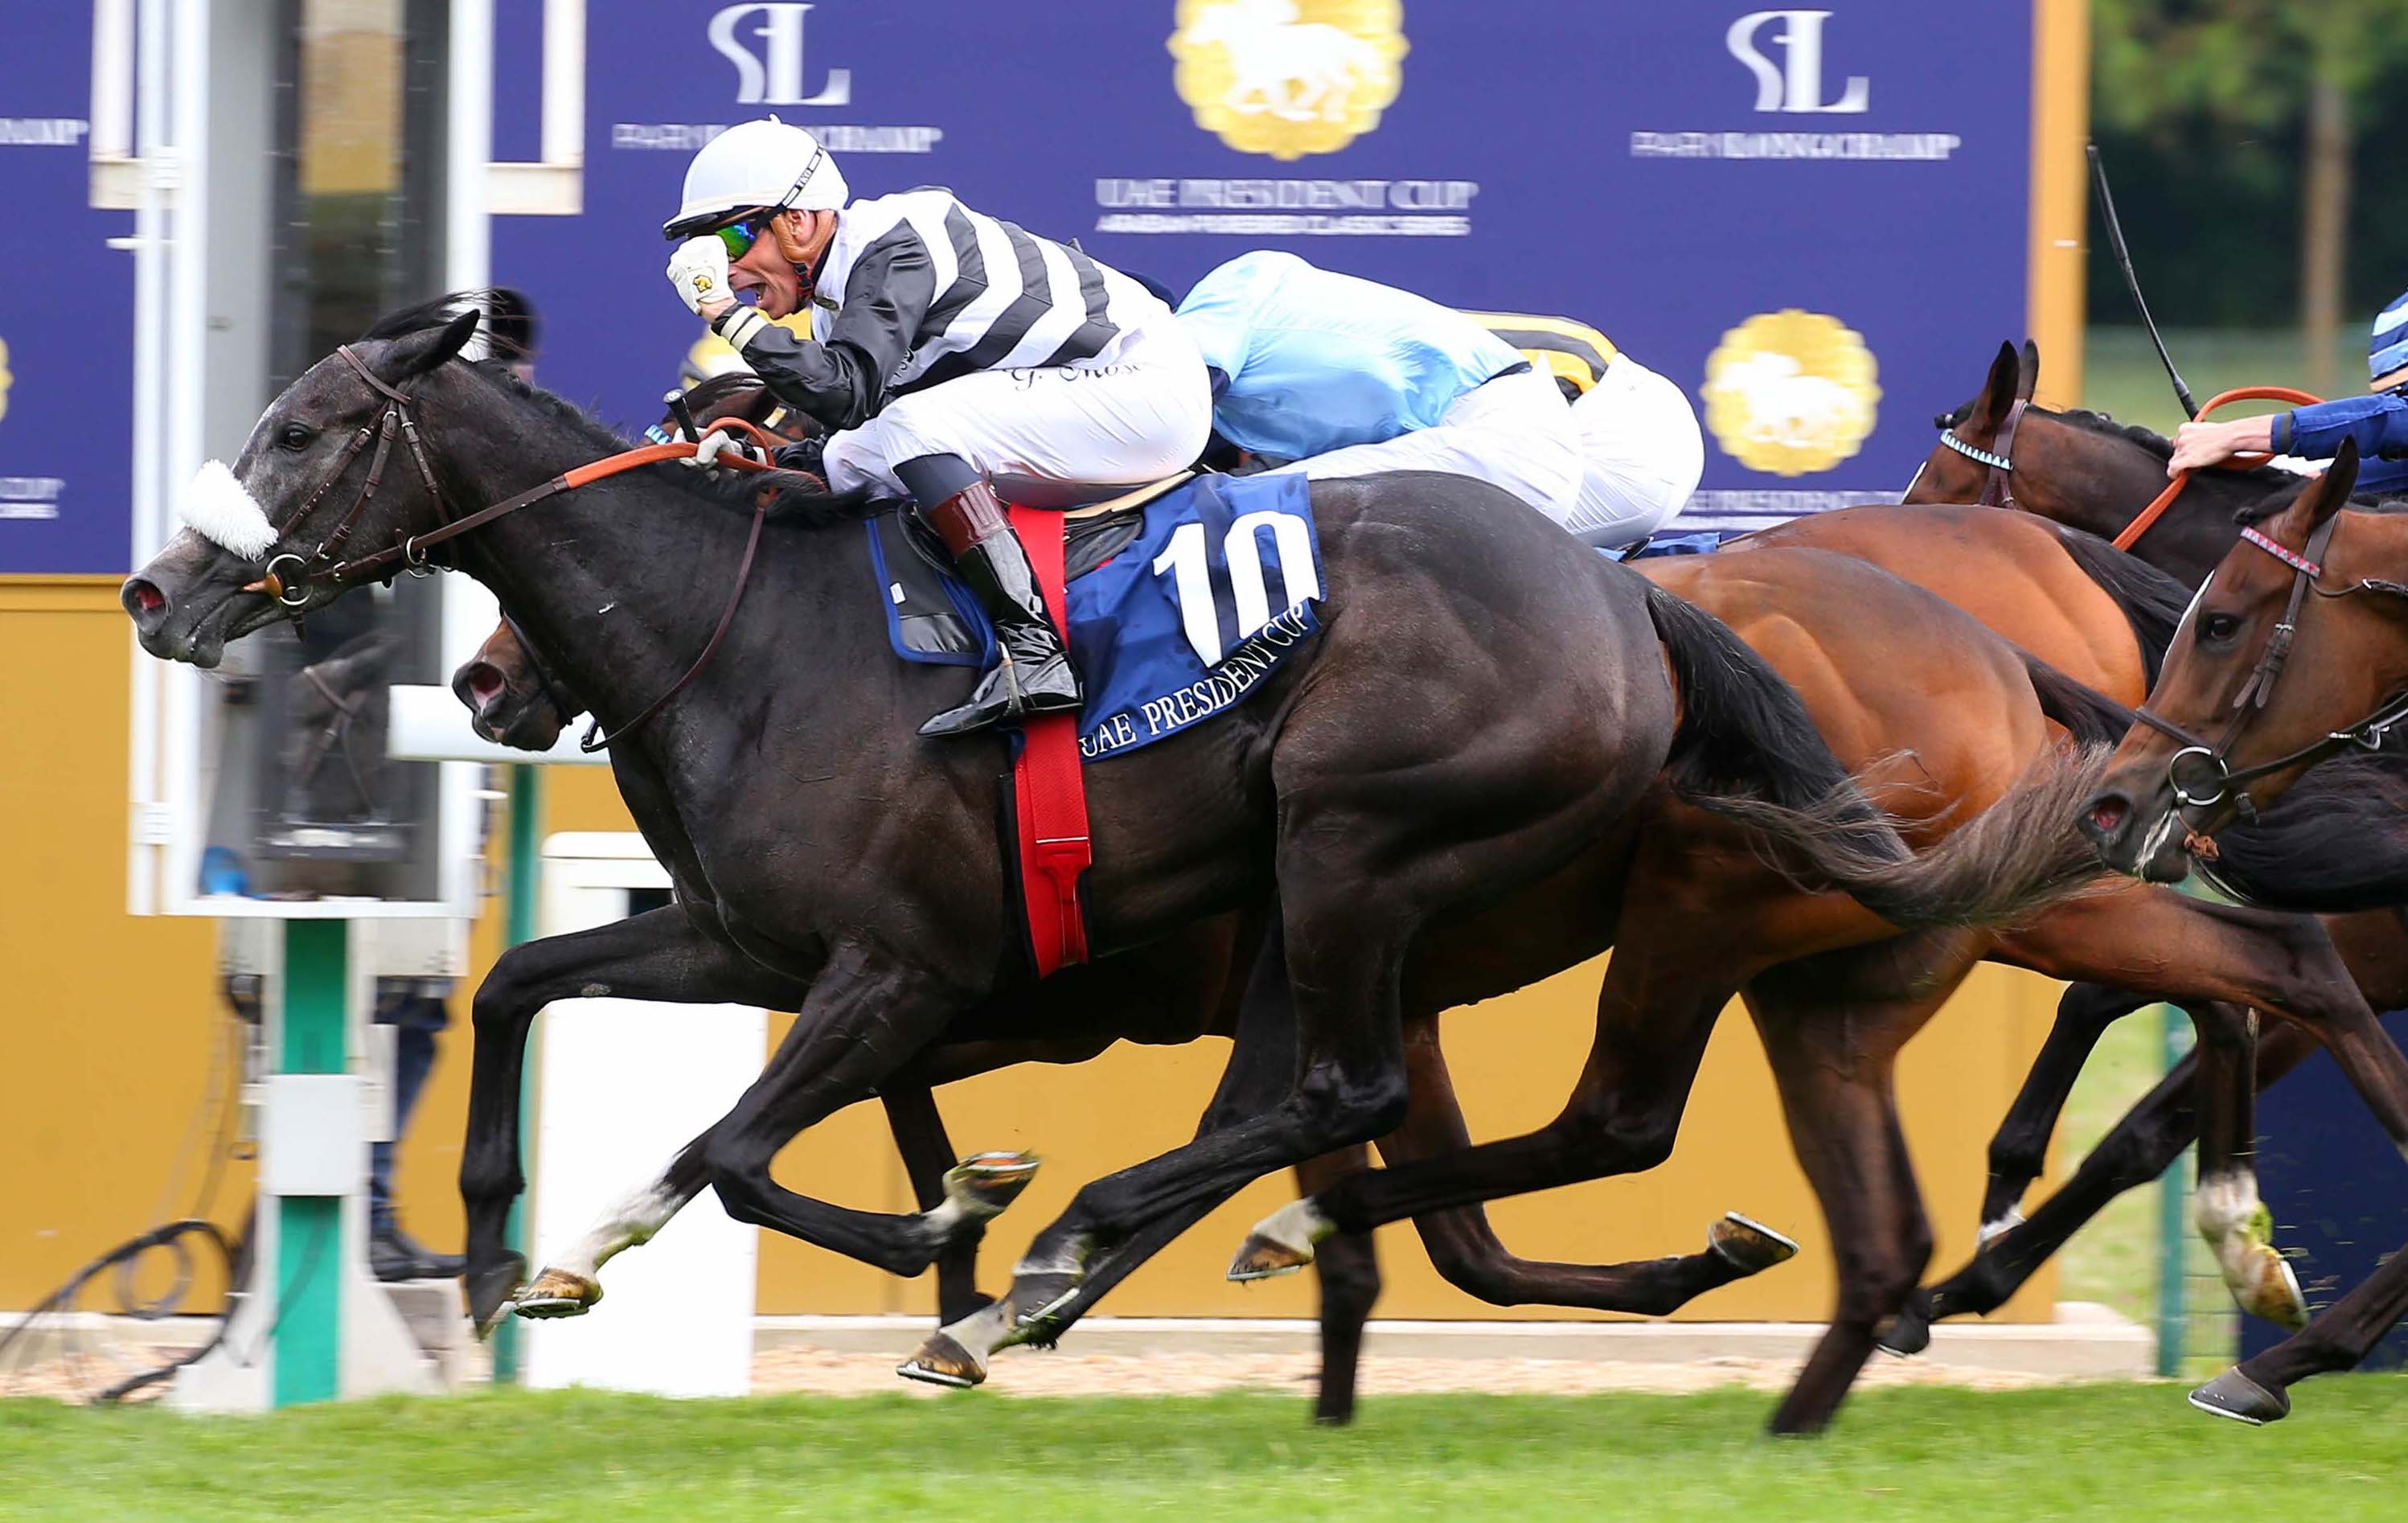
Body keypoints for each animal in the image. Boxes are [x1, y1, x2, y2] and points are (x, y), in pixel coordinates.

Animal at [117, 300, 2032, 1407]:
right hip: (1341, 913)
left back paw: (1080, 1255)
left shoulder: (904, 968)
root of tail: (1627, 598)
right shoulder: (753, 943)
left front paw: (952, 1229)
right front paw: (513, 1252)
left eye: (303, 431)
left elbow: (739, 1149)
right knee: (1403, 1135)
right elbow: (526, 983)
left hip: (1360, 848)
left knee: (1381, 1100)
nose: (153, 590)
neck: (746, 624)